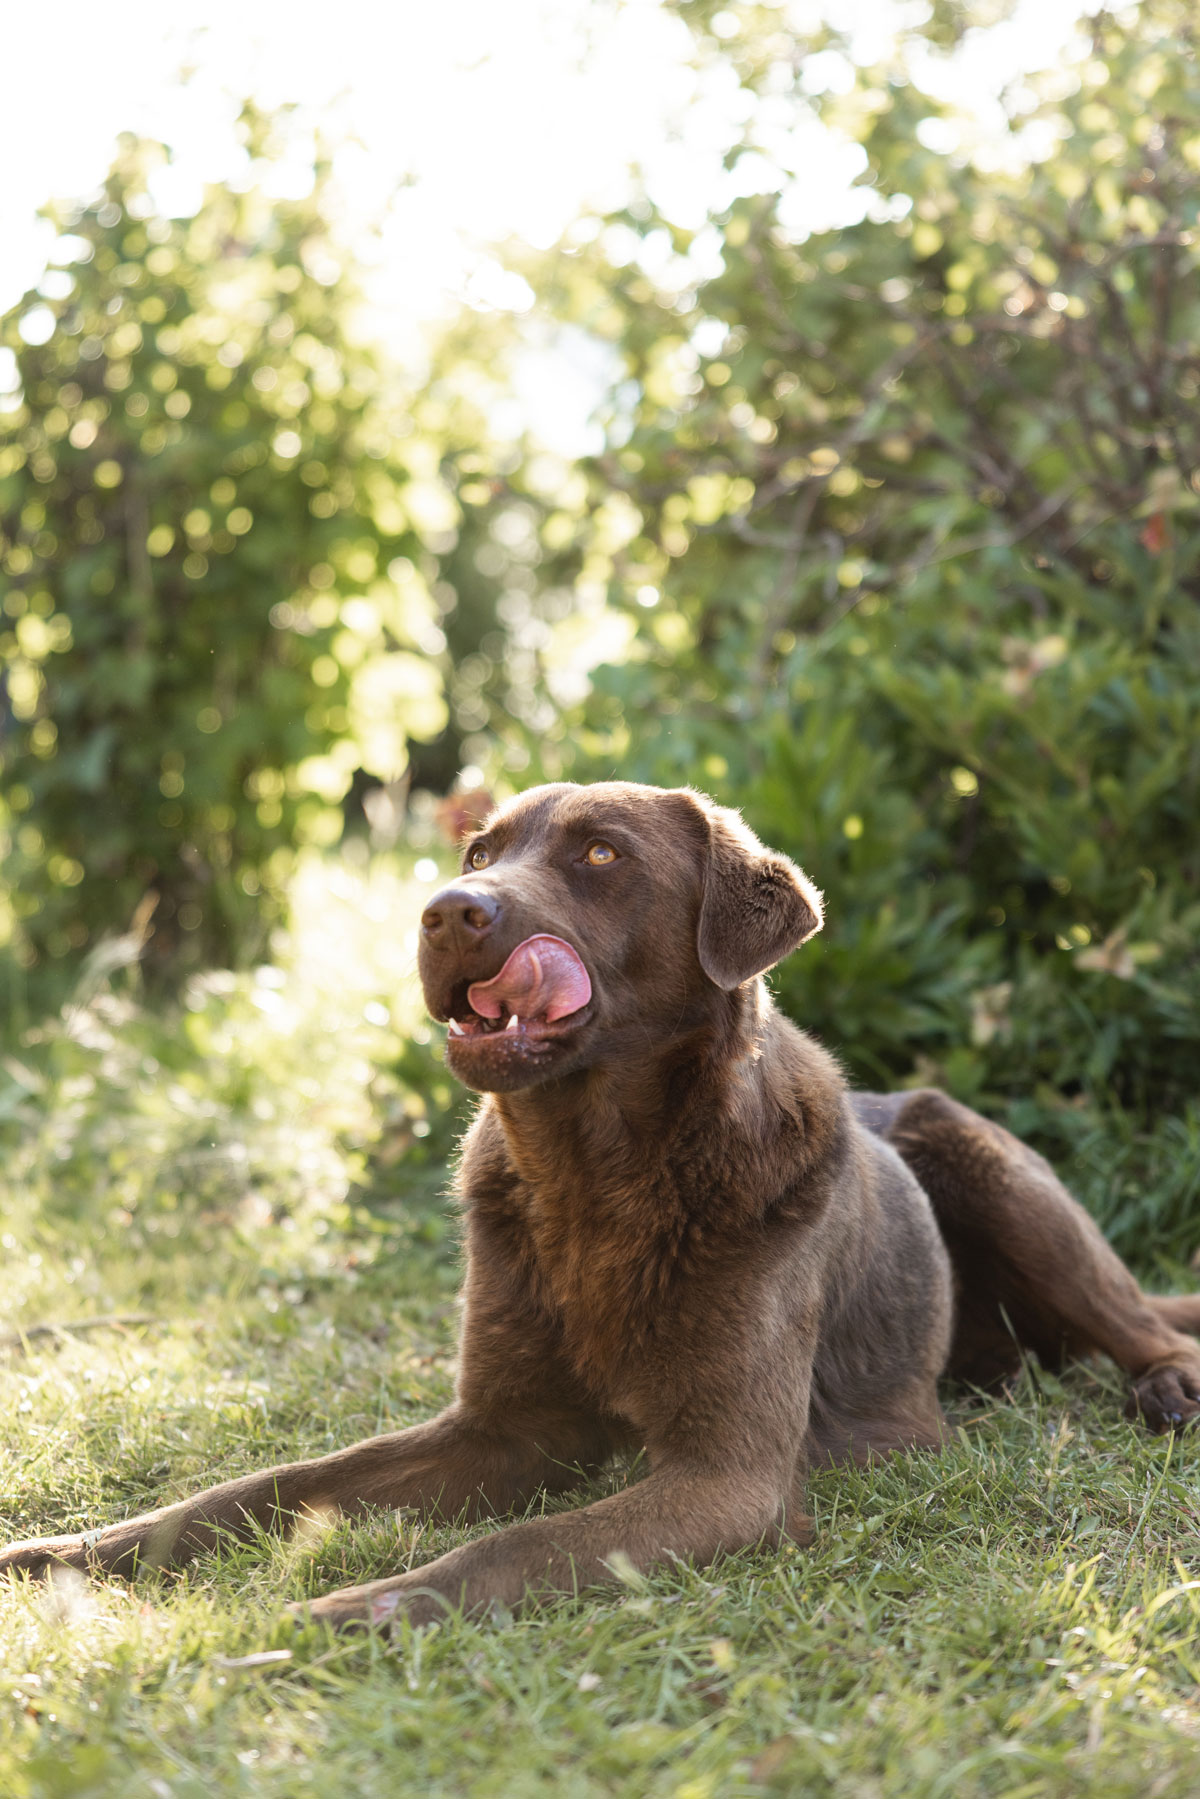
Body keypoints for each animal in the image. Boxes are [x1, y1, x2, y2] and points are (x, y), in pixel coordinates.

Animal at [2, 780, 1200, 1626]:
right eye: (479, 853)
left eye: (600, 853)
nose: (446, 910)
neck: (595, 1180)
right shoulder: (502, 1428)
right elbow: (274, 1482)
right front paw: (78, 1552)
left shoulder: (728, 1477)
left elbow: (515, 1546)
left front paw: (357, 1606)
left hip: (990, 1164)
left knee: (1141, 1322)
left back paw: (1167, 1388)